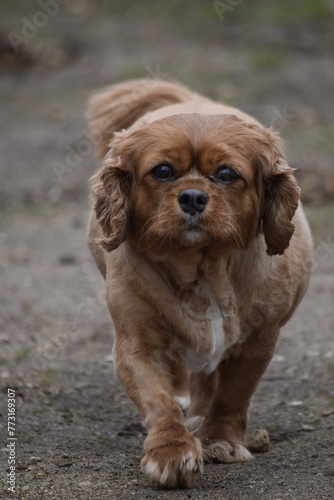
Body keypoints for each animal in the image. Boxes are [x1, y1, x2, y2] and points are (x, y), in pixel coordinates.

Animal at [87, 79, 314, 488]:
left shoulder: (258, 342)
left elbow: (232, 395)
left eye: (226, 174)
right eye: (162, 171)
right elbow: (157, 400)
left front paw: (220, 440)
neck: (202, 269)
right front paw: (171, 452)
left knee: (209, 378)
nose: (192, 196)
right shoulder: (136, 346)